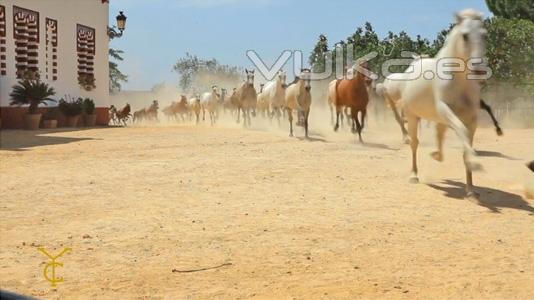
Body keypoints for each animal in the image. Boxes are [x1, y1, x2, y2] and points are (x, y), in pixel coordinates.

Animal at [400, 8, 488, 197]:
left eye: (484, 34)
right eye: (465, 35)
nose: (479, 70)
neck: (459, 79)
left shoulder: (471, 117)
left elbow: (466, 143)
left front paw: (471, 190)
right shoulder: (446, 110)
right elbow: (462, 133)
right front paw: (476, 164)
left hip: (439, 119)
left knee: (439, 136)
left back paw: (435, 155)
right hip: (413, 116)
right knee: (414, 143)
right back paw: (414, 176)